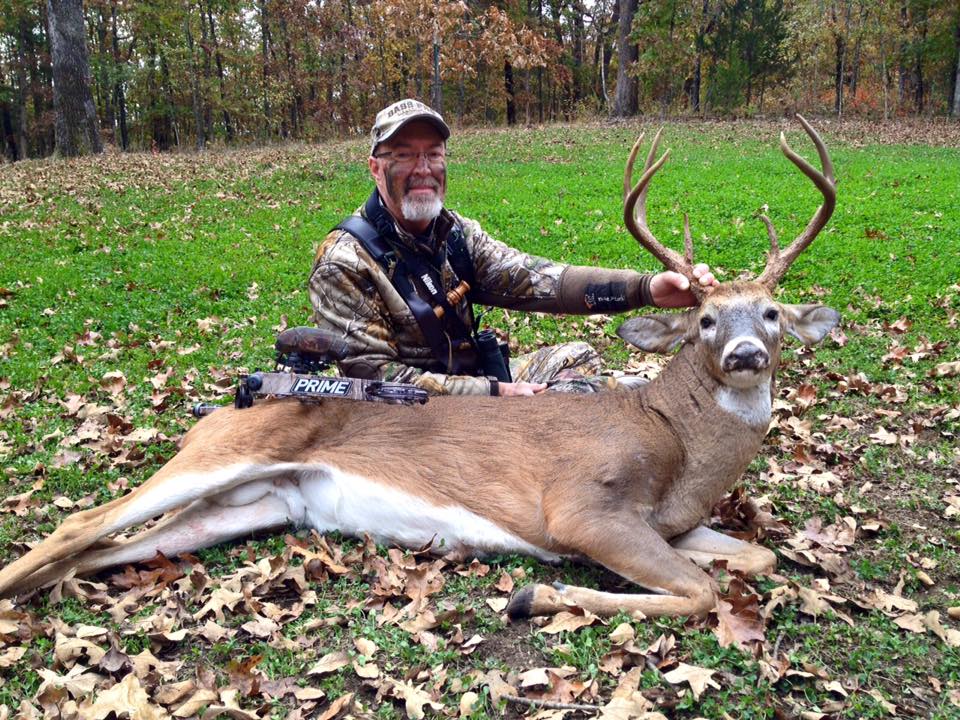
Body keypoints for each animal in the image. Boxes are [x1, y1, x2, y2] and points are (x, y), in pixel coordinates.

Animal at [0, 116, 838, 620]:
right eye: (705, 319)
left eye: (771, 313)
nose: (745, 355)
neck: (676, 448)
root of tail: (234, 404)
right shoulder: (580, 507)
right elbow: (701, 592)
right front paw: (535, 593)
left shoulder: (678, 524)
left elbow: (754, 557)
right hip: (223, 454)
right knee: (80, 520)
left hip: (249, 505)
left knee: (101, 548)